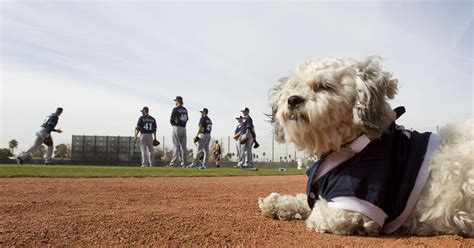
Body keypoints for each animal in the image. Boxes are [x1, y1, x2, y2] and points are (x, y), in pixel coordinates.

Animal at [260, 56, 474, 236]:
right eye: (294, 87)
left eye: (324, 86)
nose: (293, 99)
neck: (351, 142)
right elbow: (304, 199)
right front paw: (277, 203)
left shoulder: (353, 205)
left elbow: (316, 210)